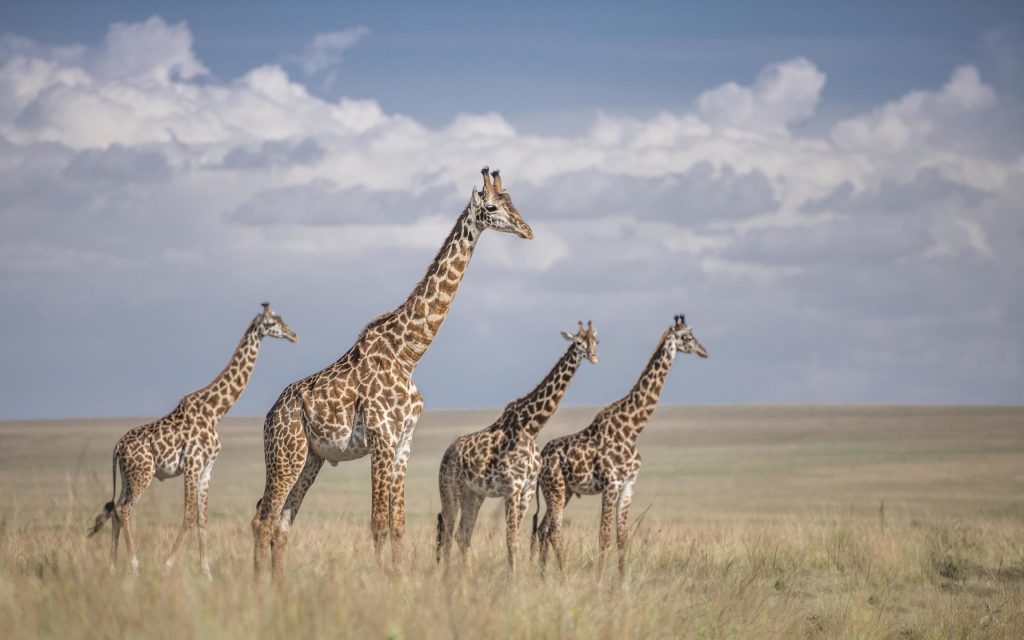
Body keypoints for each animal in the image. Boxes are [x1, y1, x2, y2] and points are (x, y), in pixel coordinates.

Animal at [87, 303, 298, 578]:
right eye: (273, 322)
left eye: (282, 319)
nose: (293, 335)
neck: (215, 411)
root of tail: (117, 448)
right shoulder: (192, 464)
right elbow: (188, 516)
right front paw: (168, 564)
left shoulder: (207, 467)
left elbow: (202, 518)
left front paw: (206, 571)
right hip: (142, 473)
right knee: (125, 509)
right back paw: (134, 565)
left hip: (127, 477)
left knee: (116, 510)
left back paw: (113, 567)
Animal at [252, 167, 533, 577]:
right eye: (493, 207)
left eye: (514, 202)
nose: (527, 230)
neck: (408, 353)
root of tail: (270, 416)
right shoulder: (381, 440)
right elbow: (378, 522)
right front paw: (383, 579)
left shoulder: (403, 443)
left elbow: (398, 522)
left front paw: (399, 579)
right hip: (285, 454)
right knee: (264, 518)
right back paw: (259, 585)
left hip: (310, 458)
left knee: (282, 520)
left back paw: (278, 584)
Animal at [435, 321, 599, 573]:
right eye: (579, 342)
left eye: (595, 341)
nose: (593, 356)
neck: (532, 427)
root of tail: (446, 453)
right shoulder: (512, 487)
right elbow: (510, 537)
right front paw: (513, 577)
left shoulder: (528, 488)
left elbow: (517, 536)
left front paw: (521, 575)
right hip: (450, 488)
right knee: (448, 531)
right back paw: (447, 576)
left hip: (474, 494)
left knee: (463, 534)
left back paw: (467, 576)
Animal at [531, 314, 707, 581]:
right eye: (687, 336)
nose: (704, 351)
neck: (633, 428)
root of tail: (542, 458)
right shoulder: (611, 484)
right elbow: (604, 537)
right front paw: (600, 582)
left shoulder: (628, 485)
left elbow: (623, 538)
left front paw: (623, 584)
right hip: (555, 489)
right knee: (553, 531)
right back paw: (561, 578)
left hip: (565, 491)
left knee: (543, 530)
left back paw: (543, 578)